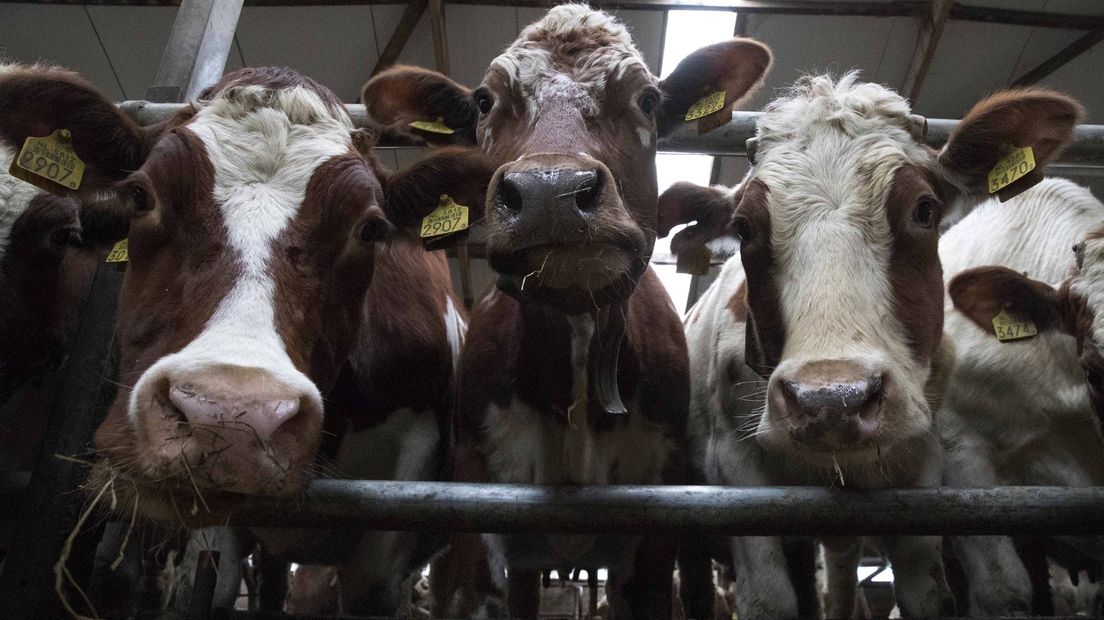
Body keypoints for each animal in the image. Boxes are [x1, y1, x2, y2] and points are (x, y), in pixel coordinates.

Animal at [653, 73, 1077, 617]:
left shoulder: (920, 473)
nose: (832, 400)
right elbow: (769, 599)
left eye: (924, 209)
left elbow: (925, 595)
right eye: (745, 228)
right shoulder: (733, 467)